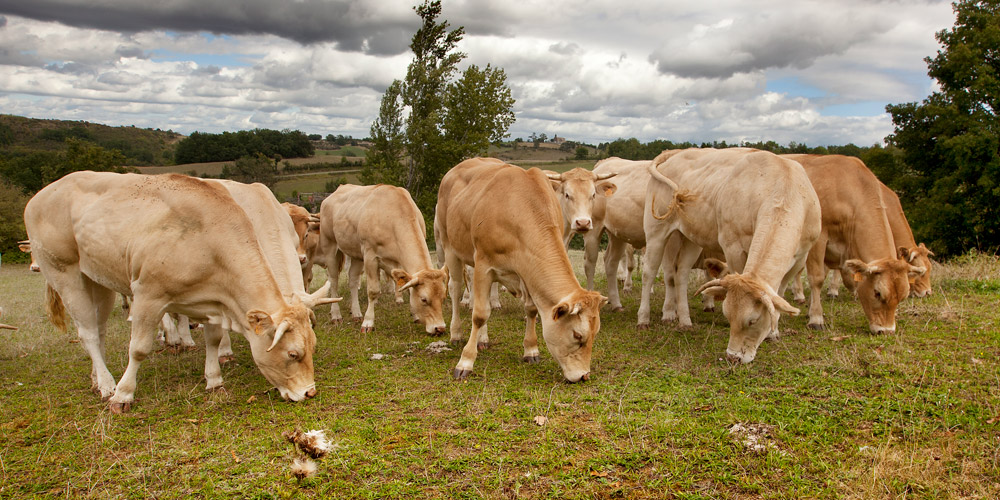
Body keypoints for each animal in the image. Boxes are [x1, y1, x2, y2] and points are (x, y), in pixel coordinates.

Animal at [23, 170, 334, 412]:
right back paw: (113, 382)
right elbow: (138, 348)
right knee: (87, 331)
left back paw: (98, 378)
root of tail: (42, 195)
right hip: (65, 273)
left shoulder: (216, 298)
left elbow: (213, 338)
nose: (309, 392)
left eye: (314, 346)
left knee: (97, 331)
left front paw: (214, 380)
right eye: (292, 354)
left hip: (98, 280)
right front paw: (124, 395)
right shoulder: (149, 294)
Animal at [320, 182, 450, 334]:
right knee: (333, 280)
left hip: (356, 252)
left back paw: (356, 313)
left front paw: (415, 315)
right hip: (329, 246)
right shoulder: (370, 256)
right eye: (424, 299)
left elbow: (406, 287)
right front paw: (368, 322)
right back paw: (336, 315)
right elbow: (373, 291)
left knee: (352, 280)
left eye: (443, 297)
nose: (440, 328)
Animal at [434, 158, 604, 380]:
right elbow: (479, 314)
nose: (584, 375)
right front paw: (466, 362)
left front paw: (531, 350)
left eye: (595, 334)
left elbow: (531, 309)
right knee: (455, 290)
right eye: (577, 335)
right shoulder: (484, 265)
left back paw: (482, 339)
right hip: (449, 246)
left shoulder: (527, 272)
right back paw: (456, 333)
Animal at [640, 148, 820, 364]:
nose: (733, 357)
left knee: (680, 274)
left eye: (753, 320)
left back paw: (685, 320)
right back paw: (643, 318)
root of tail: (675, 154)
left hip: (690, 237)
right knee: (649, 273)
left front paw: (773, 332)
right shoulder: (733, 247)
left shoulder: (801, 256)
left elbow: (780, 293)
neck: (784, 188)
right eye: (728, 315)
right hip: (656, 231)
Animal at [780, 152, 928, 332]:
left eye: (902, 296)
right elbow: (817, 278)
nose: (886, 330)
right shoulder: (820, 238)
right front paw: (815, 317)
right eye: (877, 293)